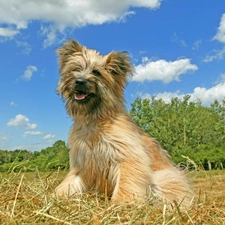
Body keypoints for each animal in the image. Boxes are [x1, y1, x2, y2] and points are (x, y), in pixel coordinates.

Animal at [55, 38, 193, 207]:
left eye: (96, 72)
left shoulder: (127, 156)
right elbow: (70, 182)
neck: (96, 120)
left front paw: (122, 202)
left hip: (165, 177)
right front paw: (57, 195)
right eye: (76, 68)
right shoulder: (82, 164)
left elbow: (126, 182)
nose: (79, 82)